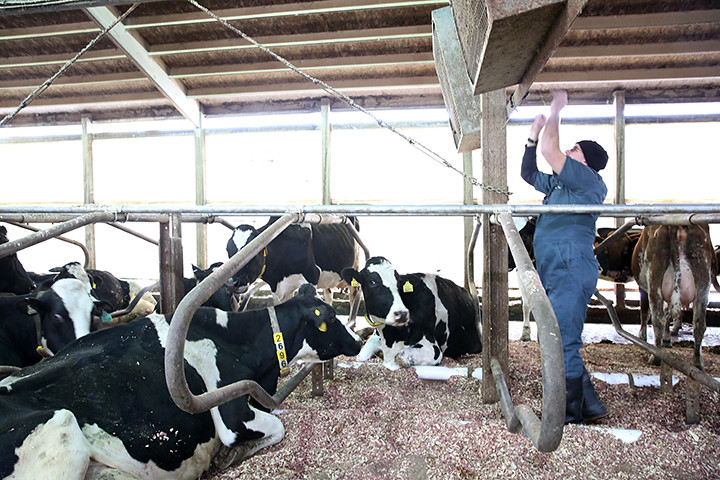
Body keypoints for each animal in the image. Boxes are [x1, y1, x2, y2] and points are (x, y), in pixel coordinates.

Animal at [0, 284, 360, 478]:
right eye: (331, 318)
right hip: (60, 428)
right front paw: (235, 454)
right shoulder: (232, 414)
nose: (357, 341)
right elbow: (277, 427)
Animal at [226, 215, 358, 302]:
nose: (232, 284)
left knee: (354, 294)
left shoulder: (312, 275)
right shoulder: (279, 289)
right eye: (228, 250)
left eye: (254, 251)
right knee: (329, 295)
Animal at [338, 256, 480, 370]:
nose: (401, 314)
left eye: (399, 283)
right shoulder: (376, 337)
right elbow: (360, 356)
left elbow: (400, 357)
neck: (389, 338)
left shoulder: (433, 348)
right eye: (372, 282)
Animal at [632, 223, 716, 370]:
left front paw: (642, 337)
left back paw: (655, 357)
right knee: (699, 323)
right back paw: (698, 363)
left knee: (658, 320)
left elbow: (645, 312)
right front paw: (667, 339)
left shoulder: (643, 288)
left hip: (654, 280)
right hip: (703, 282)